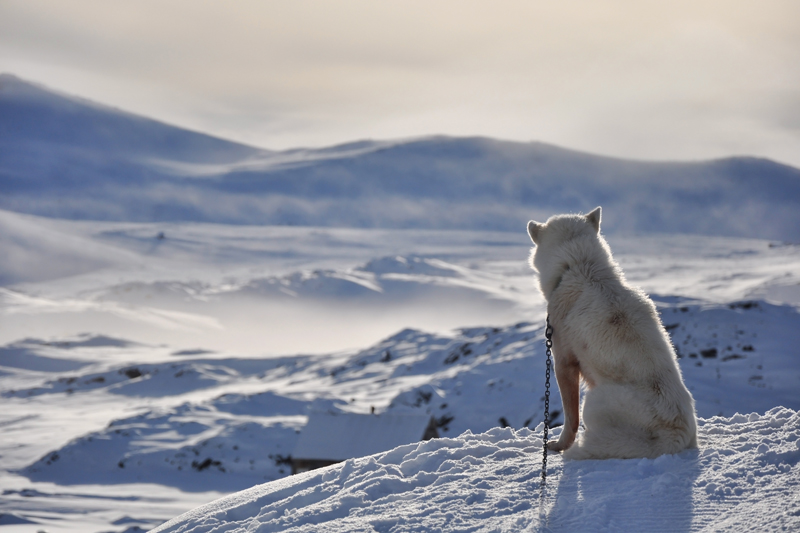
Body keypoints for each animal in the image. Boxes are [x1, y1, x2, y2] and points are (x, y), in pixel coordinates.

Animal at [528, 207, 696, 458]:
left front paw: (559, 446)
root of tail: (676, 435)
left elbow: (570, 420)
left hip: (592, 401)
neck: (578, 265)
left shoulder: (563, 363)